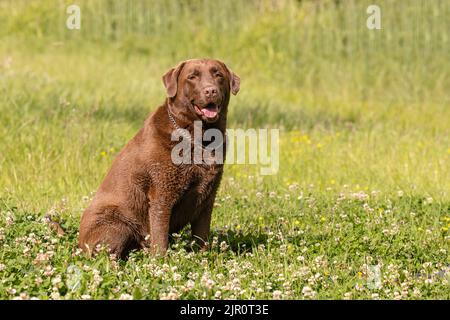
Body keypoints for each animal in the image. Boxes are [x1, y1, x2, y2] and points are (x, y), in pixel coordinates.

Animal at [78, 58, 239, 258]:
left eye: (218, 75)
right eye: (192, 76)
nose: (210, 90)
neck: (199, 138)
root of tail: (79, 243)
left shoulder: (208, 196)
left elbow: (201, 235)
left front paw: (203, 257)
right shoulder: (162, 194)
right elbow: (160, 236)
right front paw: (161, 260)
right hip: (117, 224)